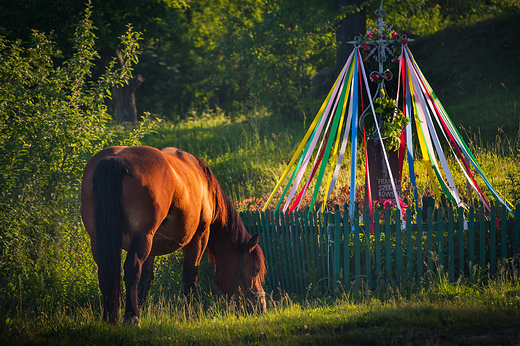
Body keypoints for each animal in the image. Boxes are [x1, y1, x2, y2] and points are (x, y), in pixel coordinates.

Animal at [82, 145, 268, 326]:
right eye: (255, 269)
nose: (261, 306)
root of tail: (117, 159)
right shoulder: (199, 237)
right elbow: (190, 278)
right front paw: (191, 317)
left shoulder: (152, 248)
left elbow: (146, 280)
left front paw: (142, 309)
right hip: (143, 237)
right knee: (132, 269)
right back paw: (132, 317)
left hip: (100, 241)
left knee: (105, 273)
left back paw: (110, 318)